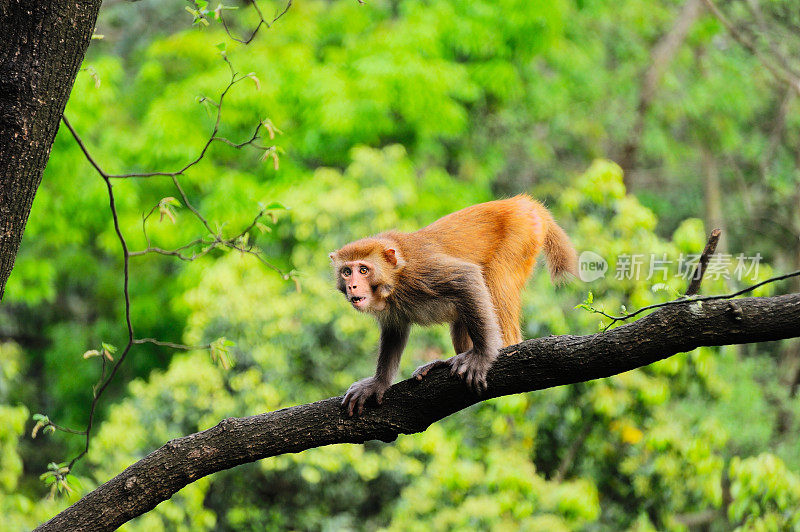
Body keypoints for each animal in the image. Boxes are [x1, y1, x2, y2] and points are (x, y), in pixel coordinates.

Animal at [328, 193, 580, 418]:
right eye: (347, 271)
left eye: (363, 270)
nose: (352, 286)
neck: (395, 281)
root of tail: (522, 203)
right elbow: (395, 331)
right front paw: (377, 383)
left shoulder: (420, 273)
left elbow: (465, 277)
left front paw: (482, 357)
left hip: (521, 236)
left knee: (494, 279)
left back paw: (501, 345)